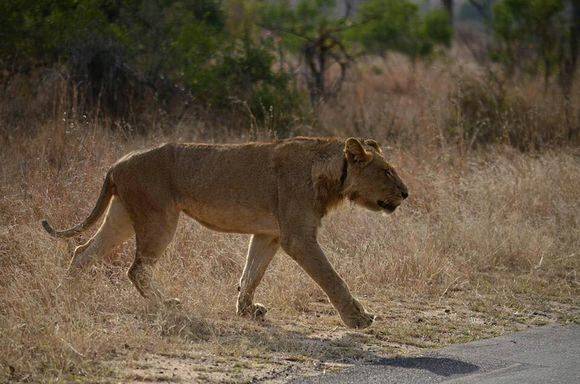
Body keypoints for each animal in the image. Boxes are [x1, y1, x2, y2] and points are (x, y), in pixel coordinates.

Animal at [43, 136, 408, 328]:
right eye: (387, 172)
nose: (406, 193)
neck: (331, 172)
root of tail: (116, 164)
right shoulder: (298, 237)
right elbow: (332, 277)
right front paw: (358, 317)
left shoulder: (270, 234)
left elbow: (251, 274)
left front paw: (246, 310)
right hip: (159, 217)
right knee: (137, 269)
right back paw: (168, 305)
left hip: (123, 215)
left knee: (84, 252)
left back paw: (63, 295)